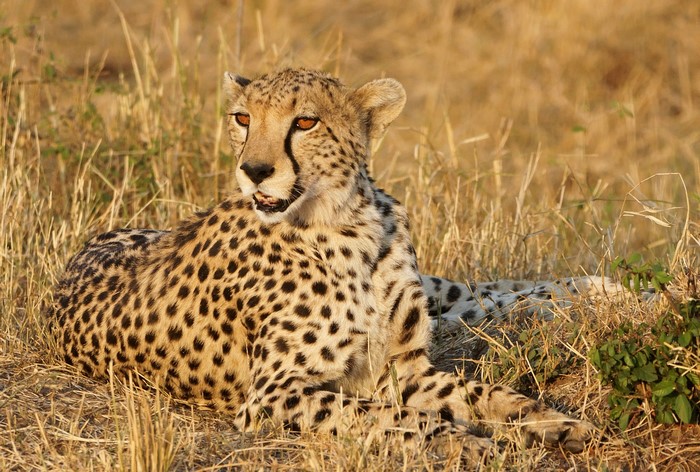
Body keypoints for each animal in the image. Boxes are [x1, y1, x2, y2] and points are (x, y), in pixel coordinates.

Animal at [47, 67, 597, 461]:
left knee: (475, 294)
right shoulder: (272, 395)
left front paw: (554, 422)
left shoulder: (405, 367)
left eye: (305, 122)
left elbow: (490, 395)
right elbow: (388, 415)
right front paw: (465, 441)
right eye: (243, 119)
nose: (254, 171)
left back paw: (594, 289)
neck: (349, 222)